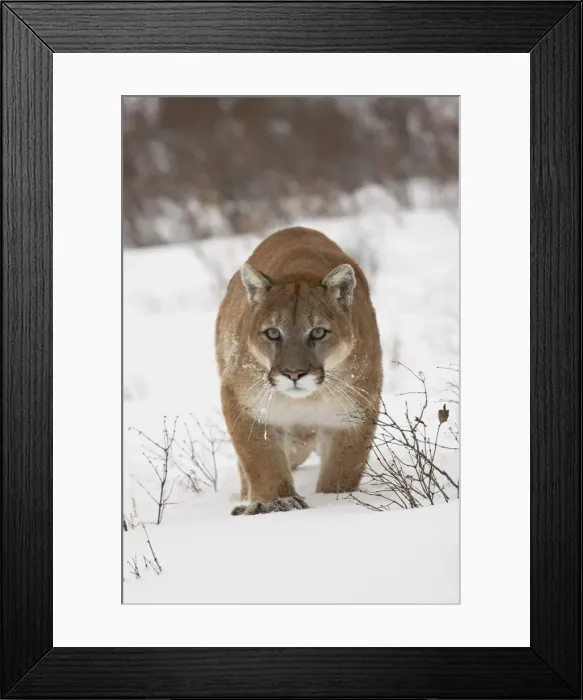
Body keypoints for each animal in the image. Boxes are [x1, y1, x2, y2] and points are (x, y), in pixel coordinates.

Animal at [215, 226, 382, 515]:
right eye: (273, 333)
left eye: (317, 332)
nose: (294, 374)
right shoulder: (242, 400)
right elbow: (261, 458)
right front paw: (277, 501)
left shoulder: (354, 412)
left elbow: (342, 468)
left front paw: (337, 499)